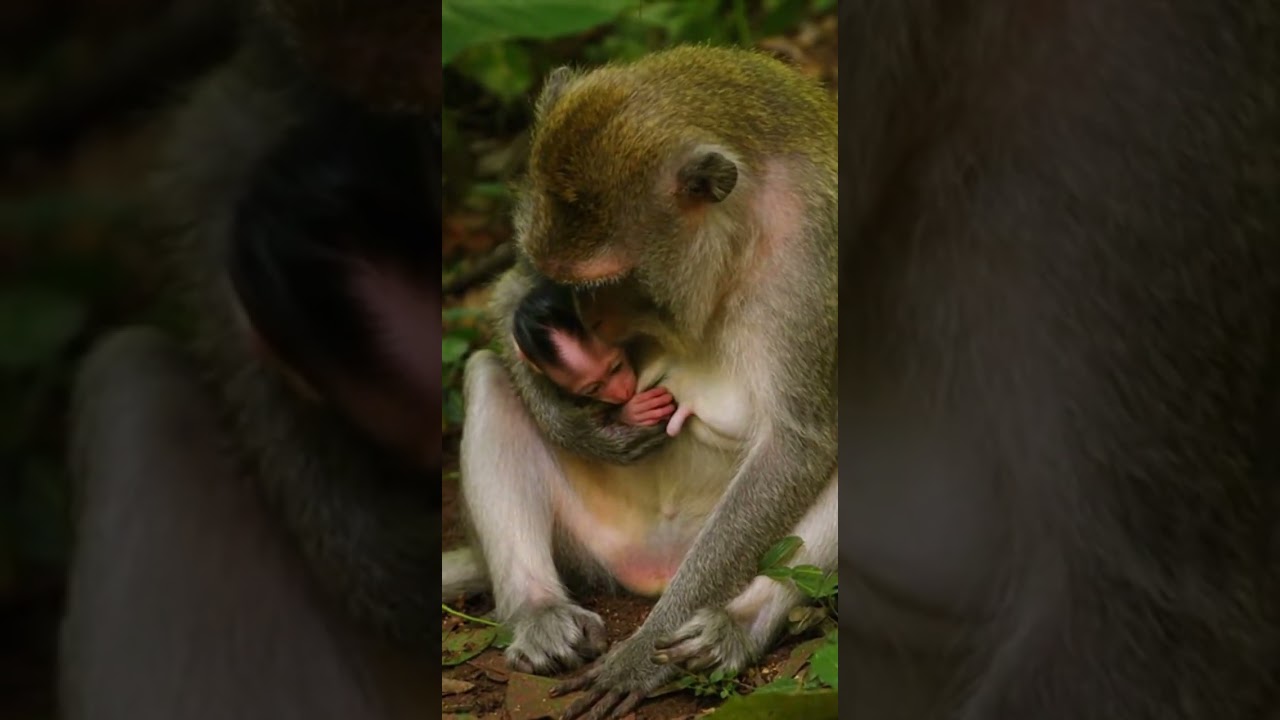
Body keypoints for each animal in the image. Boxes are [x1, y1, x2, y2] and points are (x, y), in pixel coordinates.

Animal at [442, 45, 838, 720]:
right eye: (568, 285)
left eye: (612, 283)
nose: (593, 322)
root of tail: (652, 567)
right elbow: (510, 293)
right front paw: (578, 428)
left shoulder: (814, 267)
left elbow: (799, 444)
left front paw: (644, 654)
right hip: (588, 544)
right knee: (488, 375)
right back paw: (539, 612)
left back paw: (736, 624)